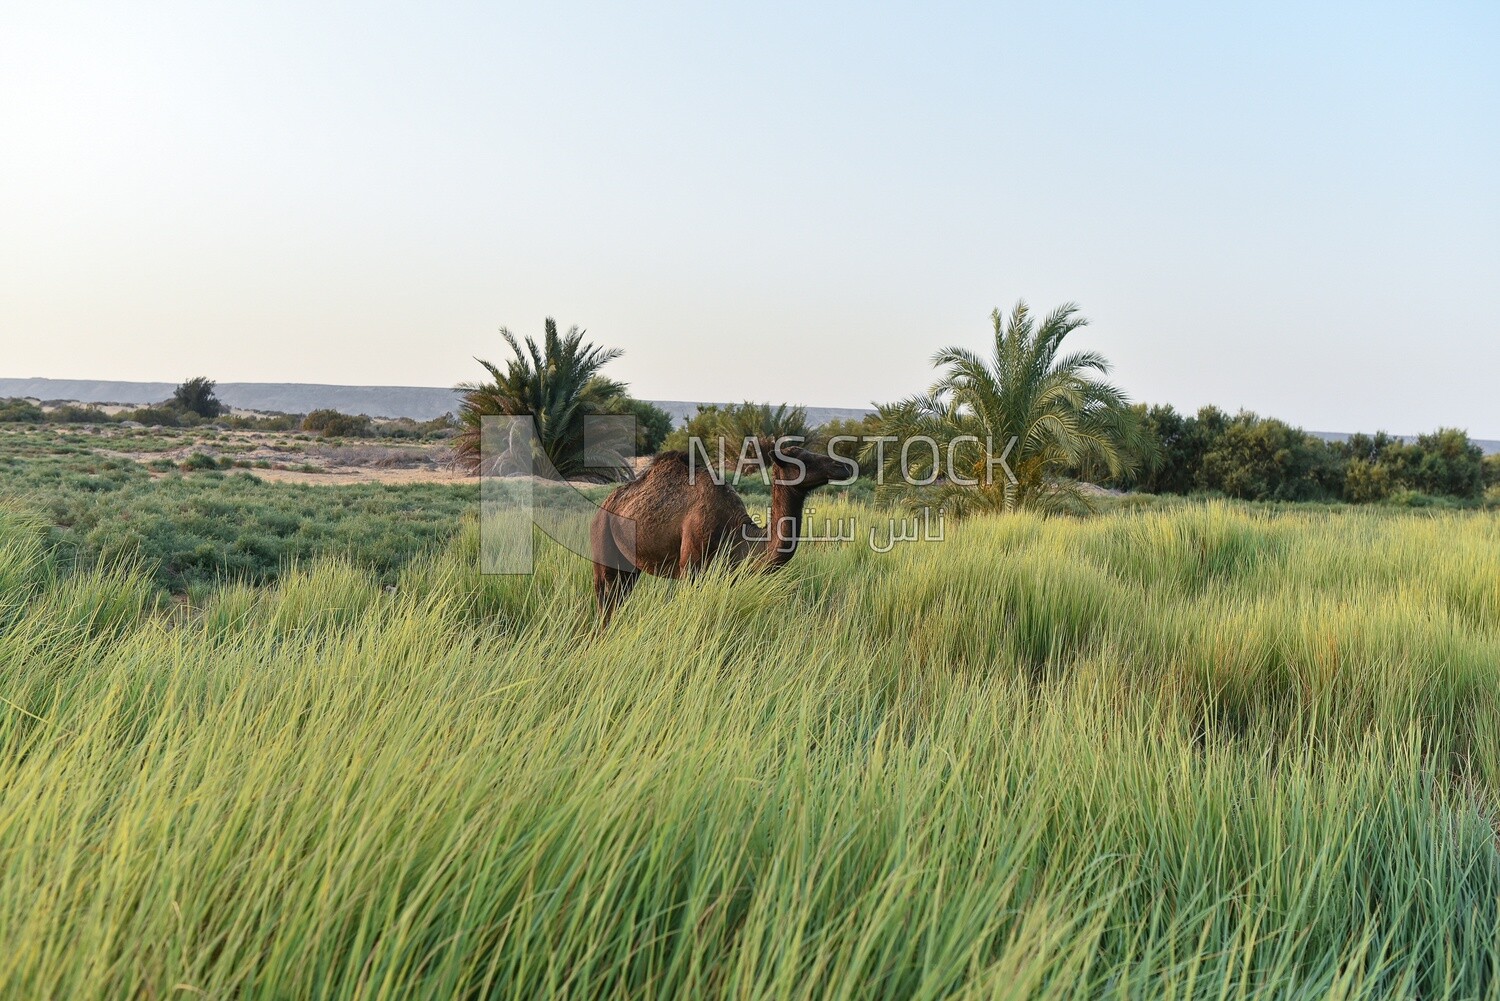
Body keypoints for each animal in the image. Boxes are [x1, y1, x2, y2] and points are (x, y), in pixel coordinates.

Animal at [591, 441, 852, 621]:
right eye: (801, 457)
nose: (843, 466)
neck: (738, 534)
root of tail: (603, 507)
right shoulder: (691, 568)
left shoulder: (727, 575)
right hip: (603, 547)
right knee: (604, 601)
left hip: (630, 565)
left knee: (619, 598)